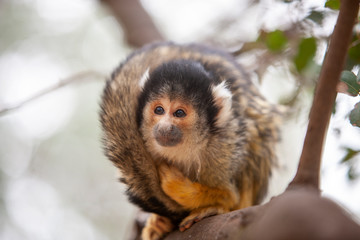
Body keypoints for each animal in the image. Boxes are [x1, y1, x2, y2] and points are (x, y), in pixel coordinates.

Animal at [99, 42, 282, 239]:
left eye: (179, 113)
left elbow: (229, 196)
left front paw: (190, 194)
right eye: (159, 110)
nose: (164, 126)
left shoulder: (225, 146)